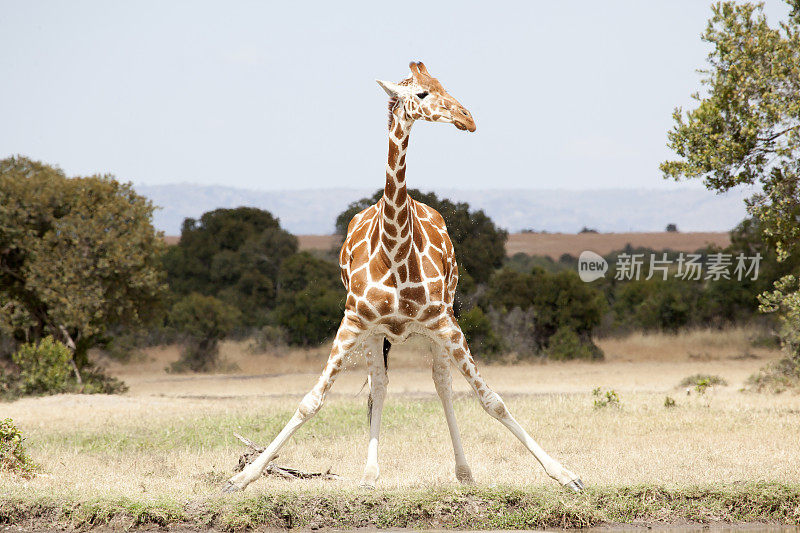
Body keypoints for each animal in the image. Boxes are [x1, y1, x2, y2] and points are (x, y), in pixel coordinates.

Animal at [222, 61, 584, 490]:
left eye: (443, 84)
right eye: (423, 93)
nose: (468, 118)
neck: (393, 251)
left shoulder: (443, 321)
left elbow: (491, 400)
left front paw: (565, 475)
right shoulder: (354, 320)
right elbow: (312, 401)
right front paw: (241, 479)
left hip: (439, 321)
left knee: (442, 384)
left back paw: (463, 472)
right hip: (376, 334)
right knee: (380, 386)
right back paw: (369, 475)